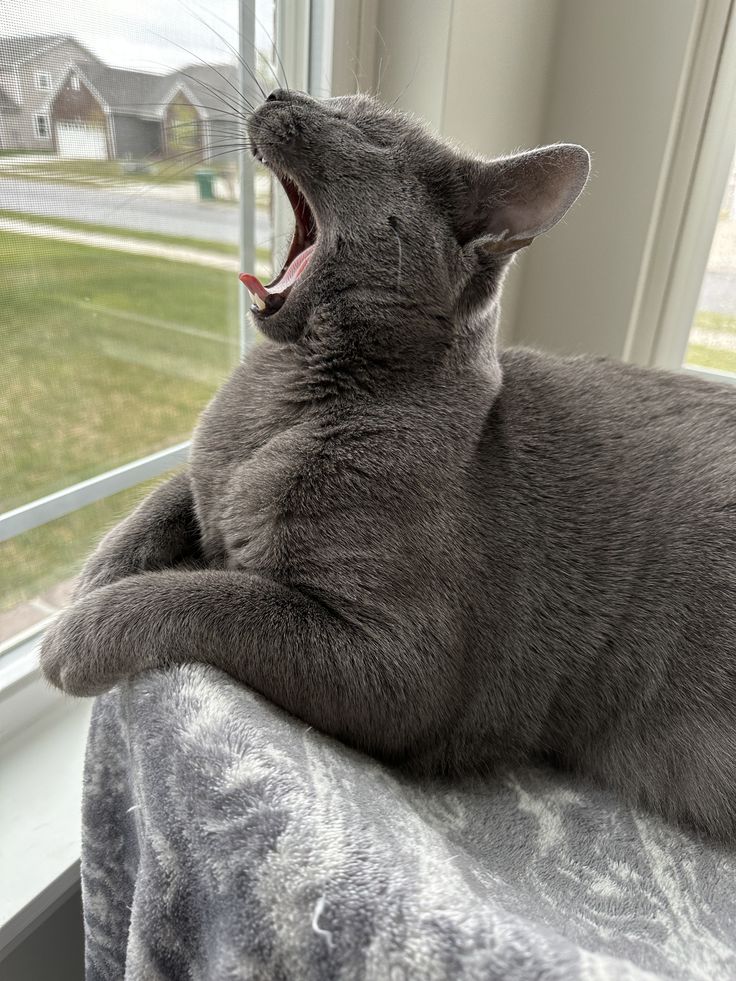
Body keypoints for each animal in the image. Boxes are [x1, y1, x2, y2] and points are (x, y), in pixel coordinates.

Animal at [40, 88, 736, 840]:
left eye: (361, 127)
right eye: (344, 103)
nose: (281, 94)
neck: (283, 400)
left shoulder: (398, 665)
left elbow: (215, 595)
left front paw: (77, 633)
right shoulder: (207, 474)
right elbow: (167, 498)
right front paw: (98, 575)